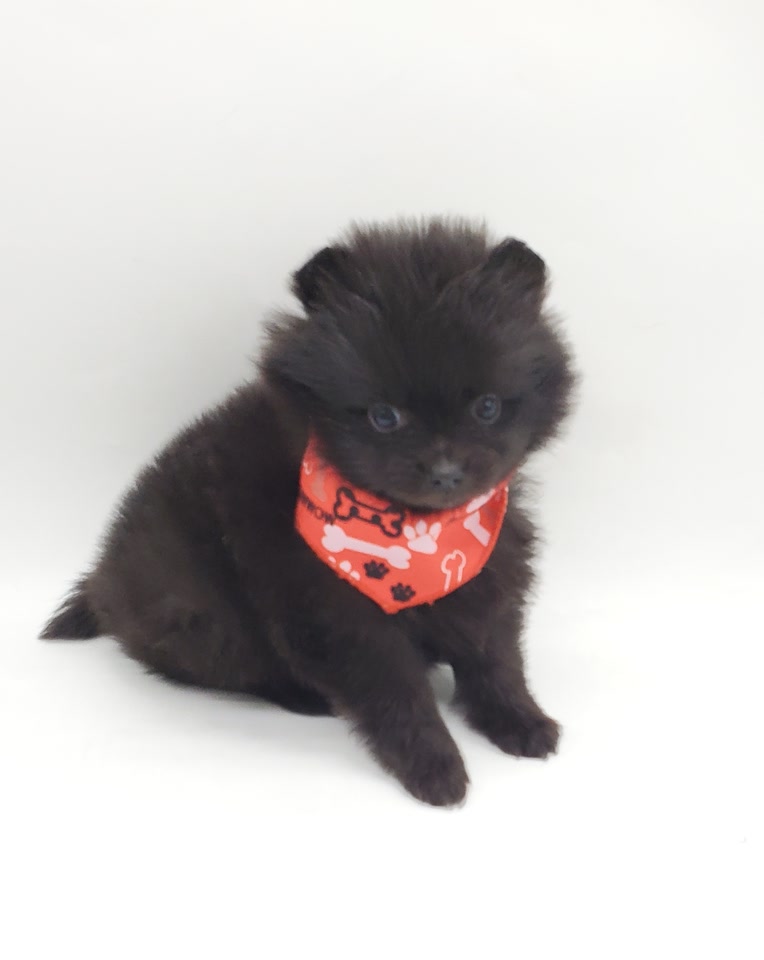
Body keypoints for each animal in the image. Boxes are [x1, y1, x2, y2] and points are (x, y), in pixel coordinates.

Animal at [42, 218, 576, 806]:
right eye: (384, 416)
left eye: (487, 407)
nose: (445, 470)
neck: (419, 534)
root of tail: (104, 581)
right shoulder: (332, 614)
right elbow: (397, 692)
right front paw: (434, 766)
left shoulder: (489, 570)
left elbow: (496, 658)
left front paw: (519, 720)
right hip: (201, 616)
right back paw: (303, 697)